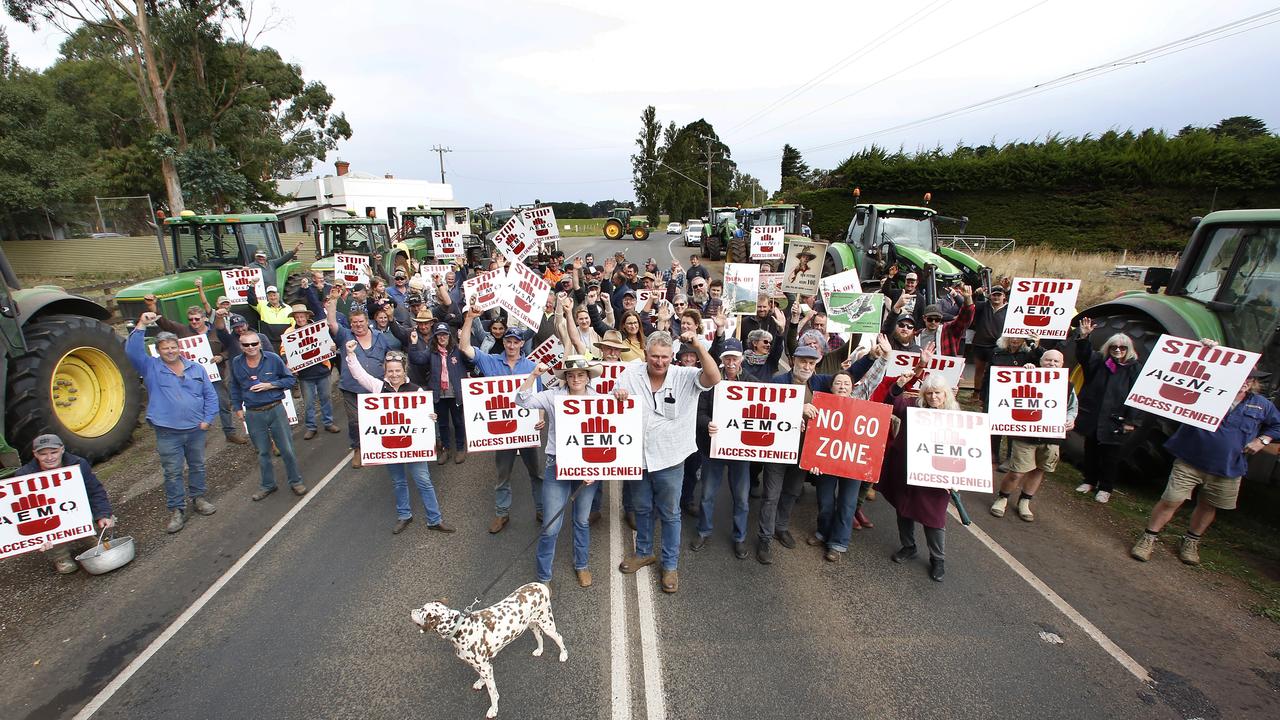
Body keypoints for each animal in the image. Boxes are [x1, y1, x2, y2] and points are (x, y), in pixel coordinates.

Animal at [412, 579, 568, 712]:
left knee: (559, 638)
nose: (411, 611)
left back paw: (563, 655)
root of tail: (540, 586)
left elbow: (493, 693)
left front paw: (493, 709)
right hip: (532, 625)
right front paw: (480, 683)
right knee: (539, 636)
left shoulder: (486, 667)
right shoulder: (482, 666)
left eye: (421, 611)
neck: (461, 628)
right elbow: (482, 677)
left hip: (547, 624)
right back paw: (539, 650)